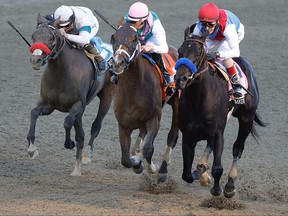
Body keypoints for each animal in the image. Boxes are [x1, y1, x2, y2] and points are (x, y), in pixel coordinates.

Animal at [27, 13, 115, 176]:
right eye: (33, 36)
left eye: (51, 37)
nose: (36, 60)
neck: (61, 72)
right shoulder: (48, 105)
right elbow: (34, 113)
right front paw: (32, 149)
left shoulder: (78, 106)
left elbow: (67, 123)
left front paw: (69, 143)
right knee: (81, 133)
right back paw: (77, 166)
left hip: (107, 95)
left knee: (95, 126)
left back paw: (85, 157)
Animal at [109, 18, 179, 182]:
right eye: (113, 37)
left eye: (134, 38)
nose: (118, 63)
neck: (133, 90)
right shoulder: (123, 124)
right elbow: (125, 159)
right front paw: (136, 162)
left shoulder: (154, 119)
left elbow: (148, 149)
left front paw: (152, 168)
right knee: (141, 132)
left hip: (177, 101)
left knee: (173, 135)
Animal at [173, 27, 266, 199]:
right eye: (180, 51)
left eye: (198, 53)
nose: (180, 78)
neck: (199, 98)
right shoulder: (188, 135)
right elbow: (187, 174)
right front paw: (202, 172)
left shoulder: (218, 132)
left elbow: (217, 168)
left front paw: (217, 187)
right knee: (209, 146)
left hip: (246, 119)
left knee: (238, 148)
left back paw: (230, 184)